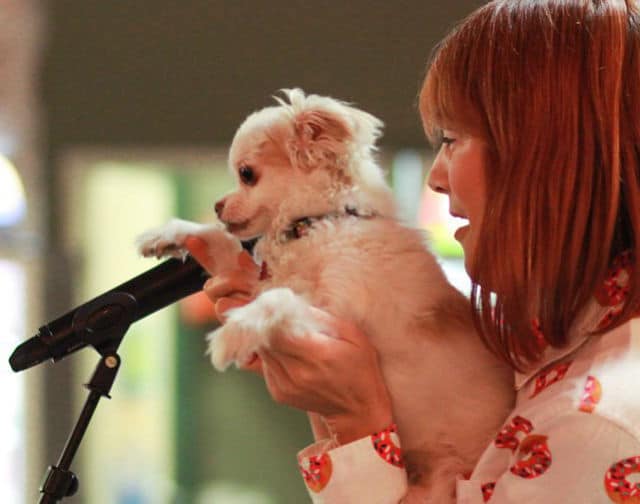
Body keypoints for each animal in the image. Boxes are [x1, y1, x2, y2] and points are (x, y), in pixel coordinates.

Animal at [138, 88, 512, 502]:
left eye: (246, 174)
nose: (218, 206)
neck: (319, 223)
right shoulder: (263, 281)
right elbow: (225, 246)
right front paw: (173, 233)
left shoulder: (334, 311)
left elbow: (278, 301)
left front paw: (234, 333)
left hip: (439, 481)